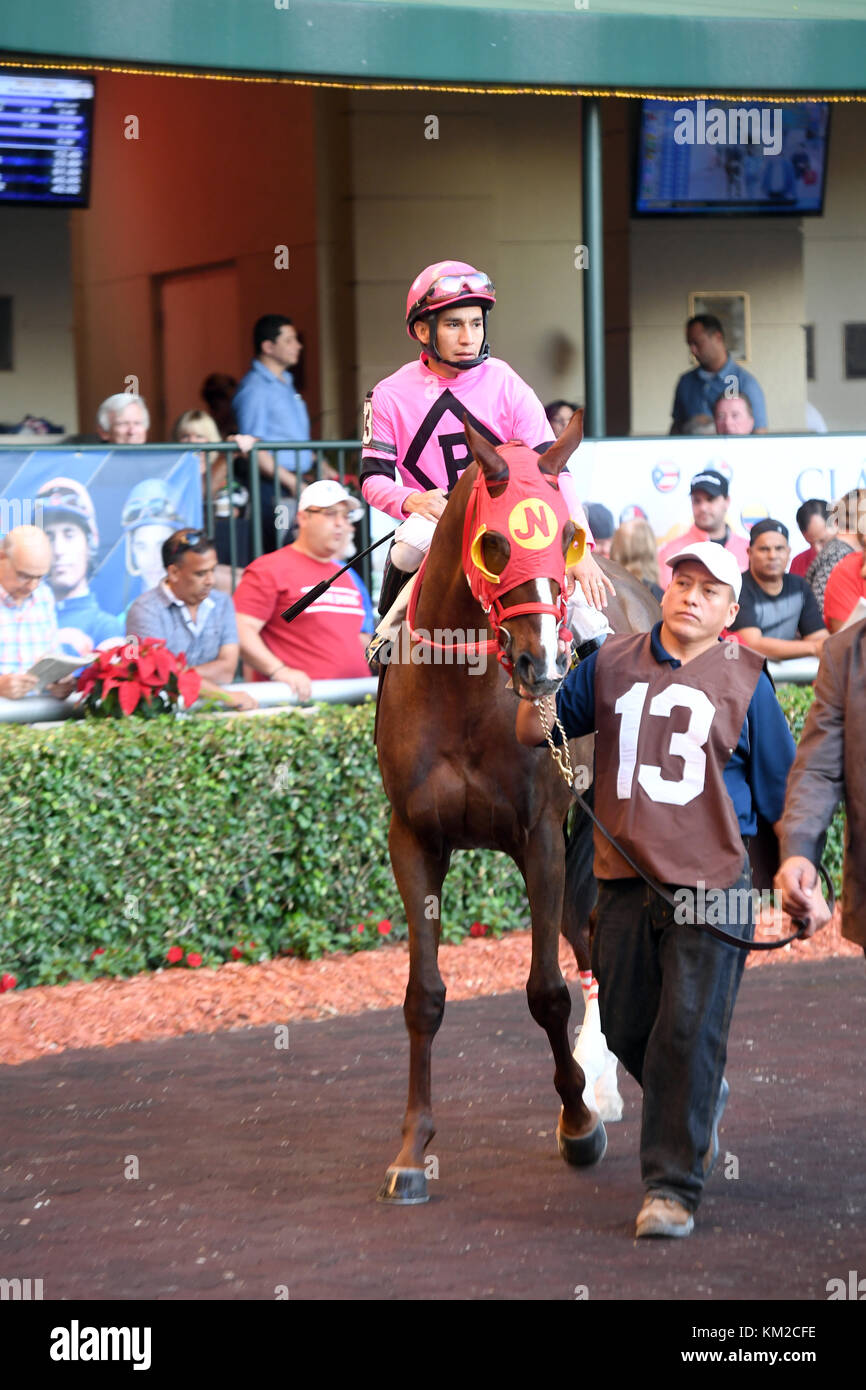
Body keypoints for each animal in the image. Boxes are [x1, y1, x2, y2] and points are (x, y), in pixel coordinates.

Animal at [372, 405, 656, 1200]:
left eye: (568, 538)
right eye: (494, 545)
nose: (547, 664)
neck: (467, 695)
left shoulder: (540, 836)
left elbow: (546, 992)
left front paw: (579, 1125)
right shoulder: (414, 838)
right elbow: (424, 995)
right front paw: (411, 1151)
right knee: (587, 932)